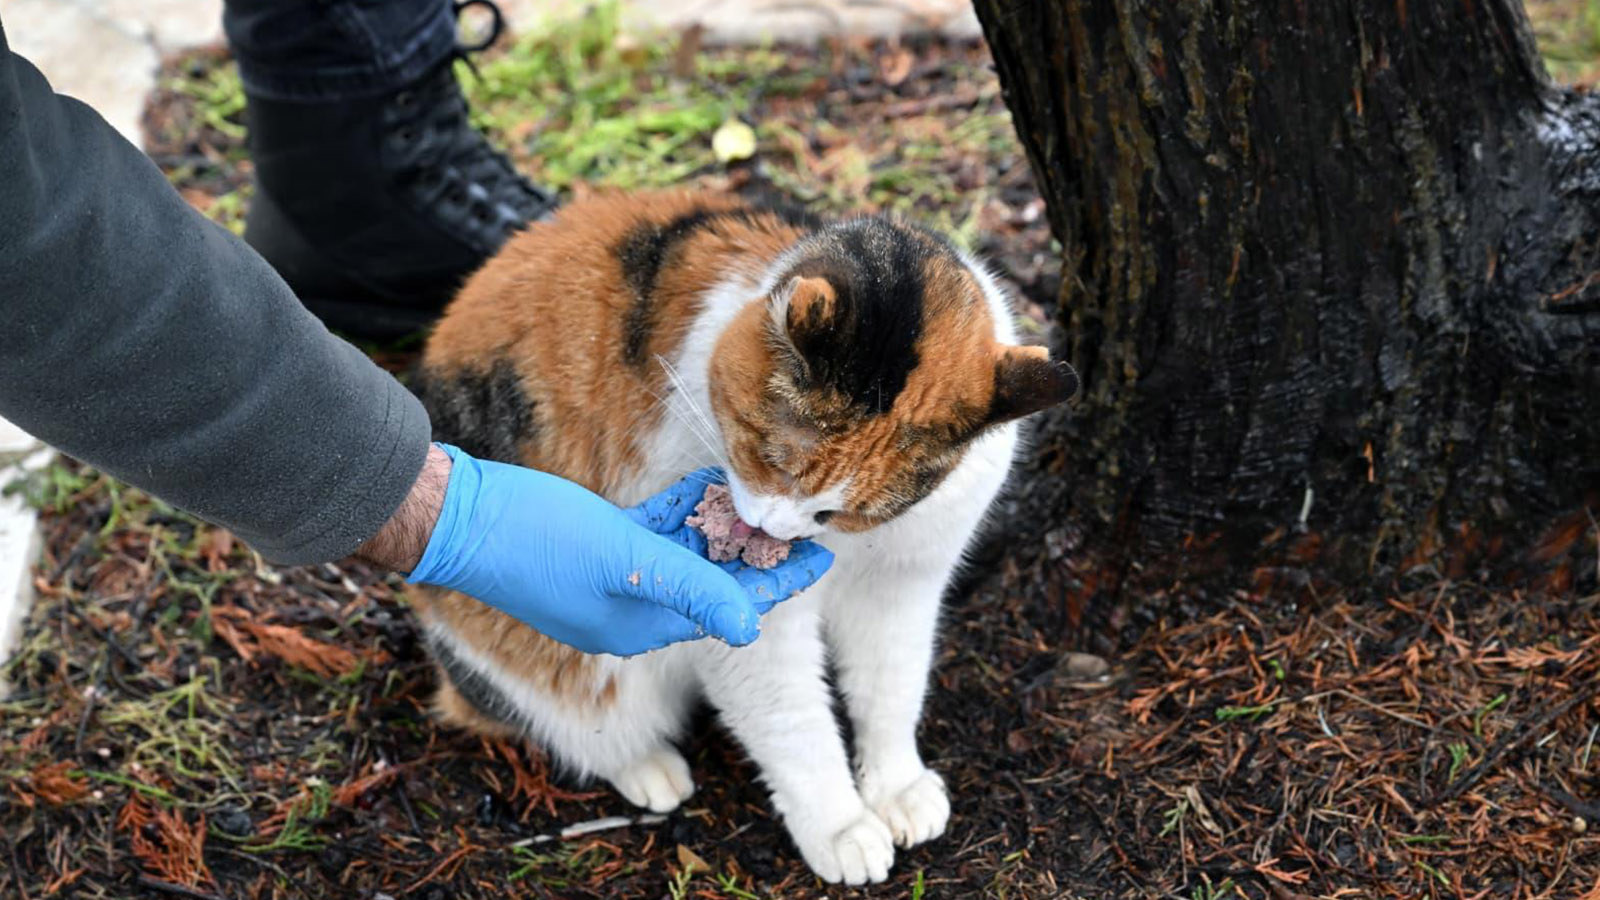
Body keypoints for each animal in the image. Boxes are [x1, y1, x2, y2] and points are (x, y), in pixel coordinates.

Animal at [409, 188, 1075, 885]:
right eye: (766, 456)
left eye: (840, 512)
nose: (766, 528)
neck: (859, 550)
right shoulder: (752, 628)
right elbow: (791, 718)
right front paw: (840, 826)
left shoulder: (904, 583)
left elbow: (892, 680)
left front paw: (894, 785)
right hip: (531, 657)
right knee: (559, 715)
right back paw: (646, 766)